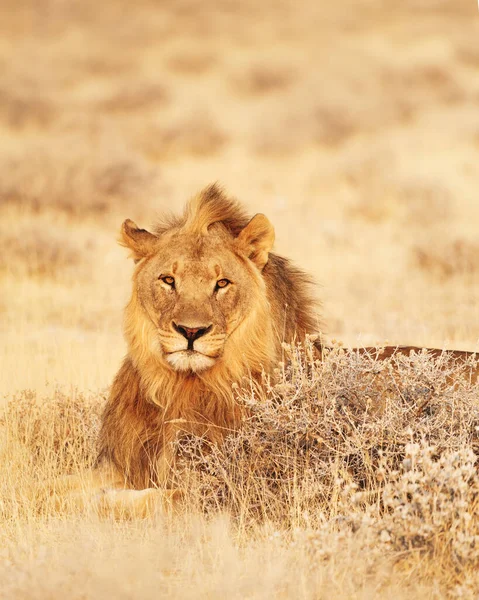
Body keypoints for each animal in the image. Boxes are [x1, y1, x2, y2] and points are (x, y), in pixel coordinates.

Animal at [54, 183, 478, 516]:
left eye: (222, 283)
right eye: (168, 280)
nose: (191, 331)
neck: (183, 388)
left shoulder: (233, 486)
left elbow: (145, 500)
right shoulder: (121, 463)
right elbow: (56, 483)